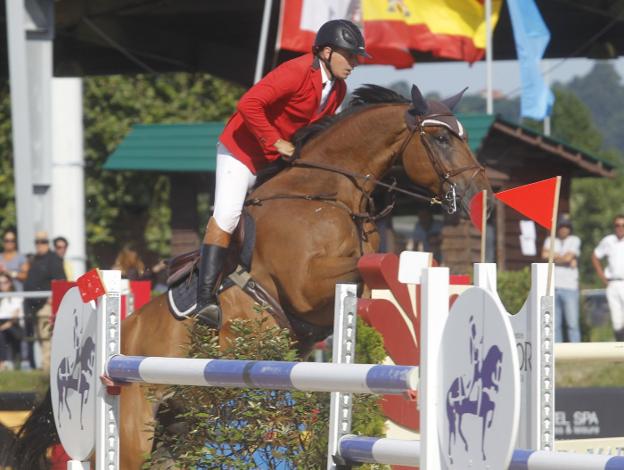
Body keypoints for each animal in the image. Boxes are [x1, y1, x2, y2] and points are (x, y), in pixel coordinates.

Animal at [4, 85, 492, 470]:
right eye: (441, 137)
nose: (477, 192)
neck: (329, 195)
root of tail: (124, 328)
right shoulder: (305, 286)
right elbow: (371, 267)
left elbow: (374, 270)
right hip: (133, 434)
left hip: (183, 431)